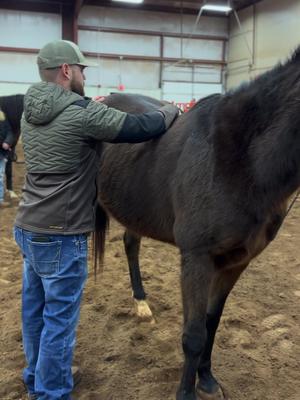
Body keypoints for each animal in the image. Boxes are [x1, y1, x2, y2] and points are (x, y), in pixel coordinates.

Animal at [95, 47, 300, 400]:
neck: (239, 160)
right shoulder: (197, 258)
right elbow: (193, 334)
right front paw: (186, 392)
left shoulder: (236, 262)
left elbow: (211, 323)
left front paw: (206, 379)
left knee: (130, 245)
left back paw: (141, 303)